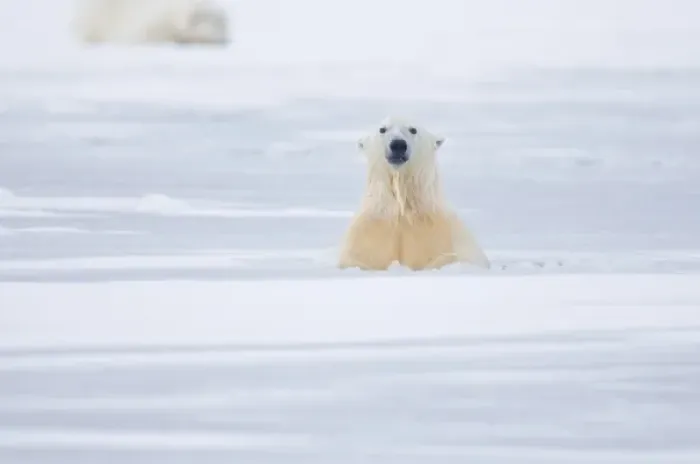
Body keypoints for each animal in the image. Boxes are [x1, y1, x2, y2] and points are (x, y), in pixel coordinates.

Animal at [338, 117, 490, 271]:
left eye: (413, 129)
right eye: (382, 129)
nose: (398, 145)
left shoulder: (443, 233)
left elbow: (449, 258)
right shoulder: (370, 229)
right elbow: (359, 259)